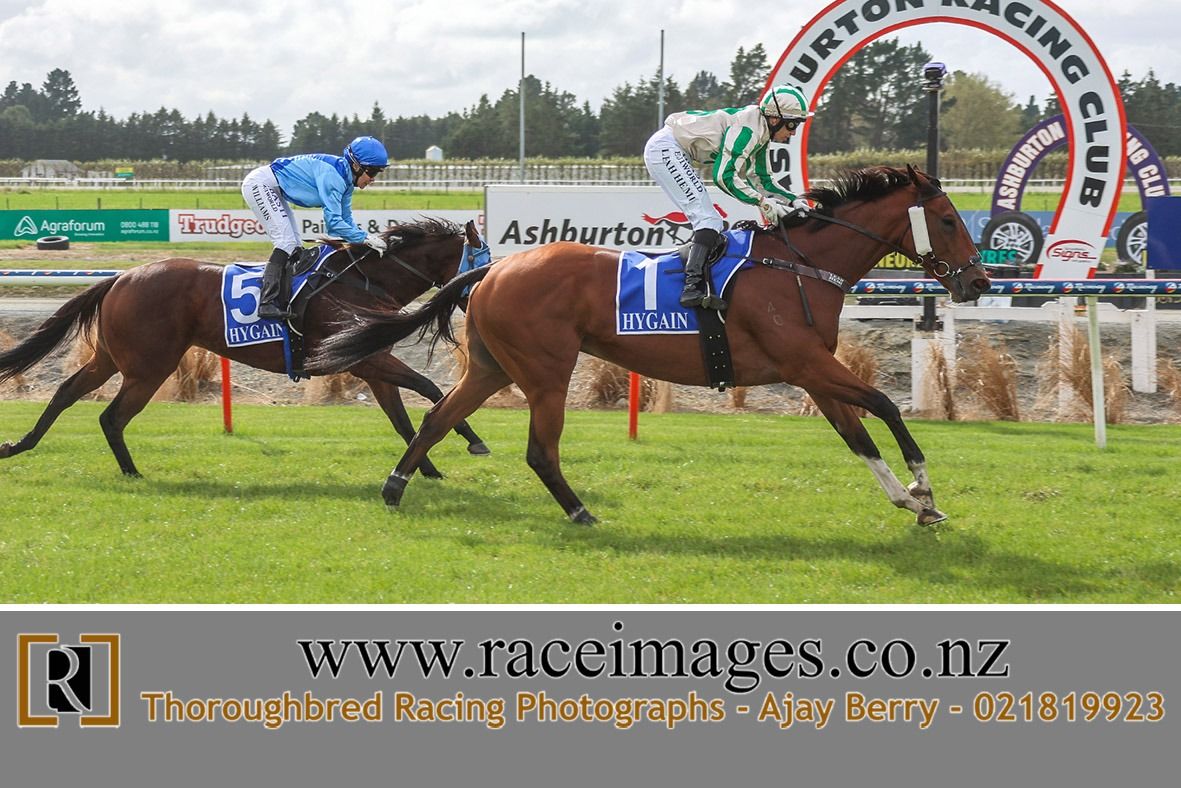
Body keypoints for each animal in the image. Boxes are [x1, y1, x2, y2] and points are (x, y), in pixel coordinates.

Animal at [0, 218, 490, 479]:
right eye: (481, 260)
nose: (485, 292)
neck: (364, 280)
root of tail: (120, 277)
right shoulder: (369, 357)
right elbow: (431, 389)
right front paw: (473, 441)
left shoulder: (369, 362)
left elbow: (402, 415)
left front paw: (426, 468)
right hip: (149, 366)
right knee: (112, 416)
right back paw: (132, 472)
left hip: (112, 358)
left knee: (67, 393)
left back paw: (18, 445)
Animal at [308, 166, 992, 525]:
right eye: (950, 219)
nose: (980, 282)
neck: (799, 267)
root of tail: (493, 269)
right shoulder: (806, 363)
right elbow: (887, 406)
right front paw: (924, 489)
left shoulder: (810, 373)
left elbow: (858, 435)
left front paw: (909, 501)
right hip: (546, 369)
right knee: (538, 451)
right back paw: (580, 512)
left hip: (493, 367)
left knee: (440, 415)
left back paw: (397, 486)